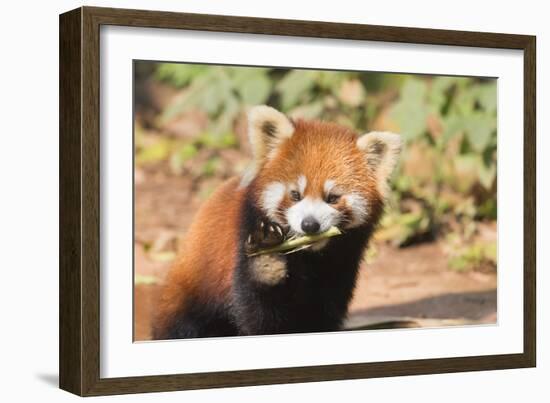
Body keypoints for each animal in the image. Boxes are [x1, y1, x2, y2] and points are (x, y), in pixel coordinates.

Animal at [153, 105, 404, 340]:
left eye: (332, 198)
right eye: (295, 194)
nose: (309, 225)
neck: (309, 257)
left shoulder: (341, 263)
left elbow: (323, 311)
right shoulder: (244, 237)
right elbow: (260, 314)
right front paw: (268, 261)